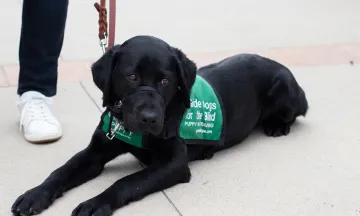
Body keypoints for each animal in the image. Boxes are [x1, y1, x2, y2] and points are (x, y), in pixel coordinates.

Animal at [12, 35, 308, 216]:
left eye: (166, 81)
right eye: (131, 77)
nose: (150, 117)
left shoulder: (174, 164)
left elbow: (127, 181)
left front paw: (96, 203)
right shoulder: (96, 151)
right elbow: (61, 172)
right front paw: (34, 195)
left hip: (284, 90)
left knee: (294, 114)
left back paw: (277, 126)